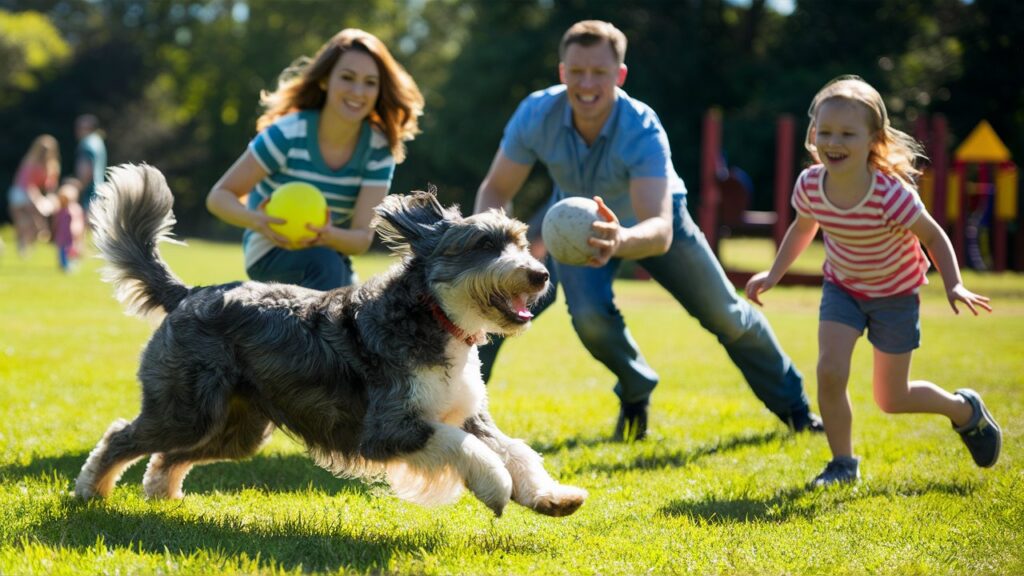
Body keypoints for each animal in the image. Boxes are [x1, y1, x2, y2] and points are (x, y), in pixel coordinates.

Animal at [74, 162, 585, 516]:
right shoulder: (390, 428)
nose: (540, 275)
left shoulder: (468, 414)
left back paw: (163, 493)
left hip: (237, 428)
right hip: (186, 409)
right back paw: (90, 491)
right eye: (484, 245)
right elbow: (467, 448)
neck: (436, 318)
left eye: (520, 241)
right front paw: (497, 488)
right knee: (121, 436)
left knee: (168, 455)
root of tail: (189, 293)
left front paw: (551, 497)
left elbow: (515, 449)